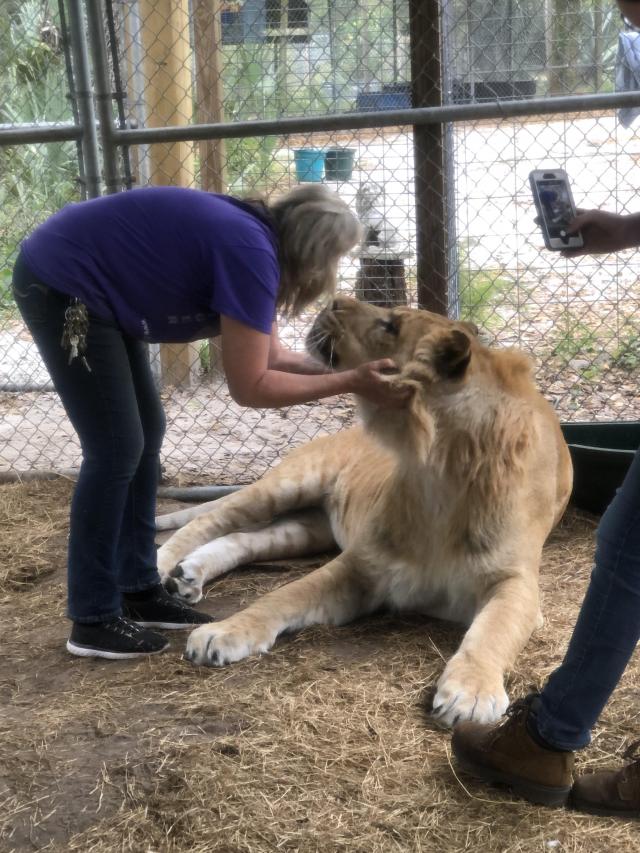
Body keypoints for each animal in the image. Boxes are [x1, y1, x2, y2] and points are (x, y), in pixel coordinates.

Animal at [156, 296, 572, 727]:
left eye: (391, 326)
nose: (335, 300)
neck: (437, 472)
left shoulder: (515, 581)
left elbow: (493, 630)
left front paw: (471, 692)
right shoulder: (361, 563)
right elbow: (283, 596)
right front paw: (223, 632)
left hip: (308, 529)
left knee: (242, 540)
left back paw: (187, 575)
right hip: (289, 484)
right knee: (210, 519)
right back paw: (164, 566)